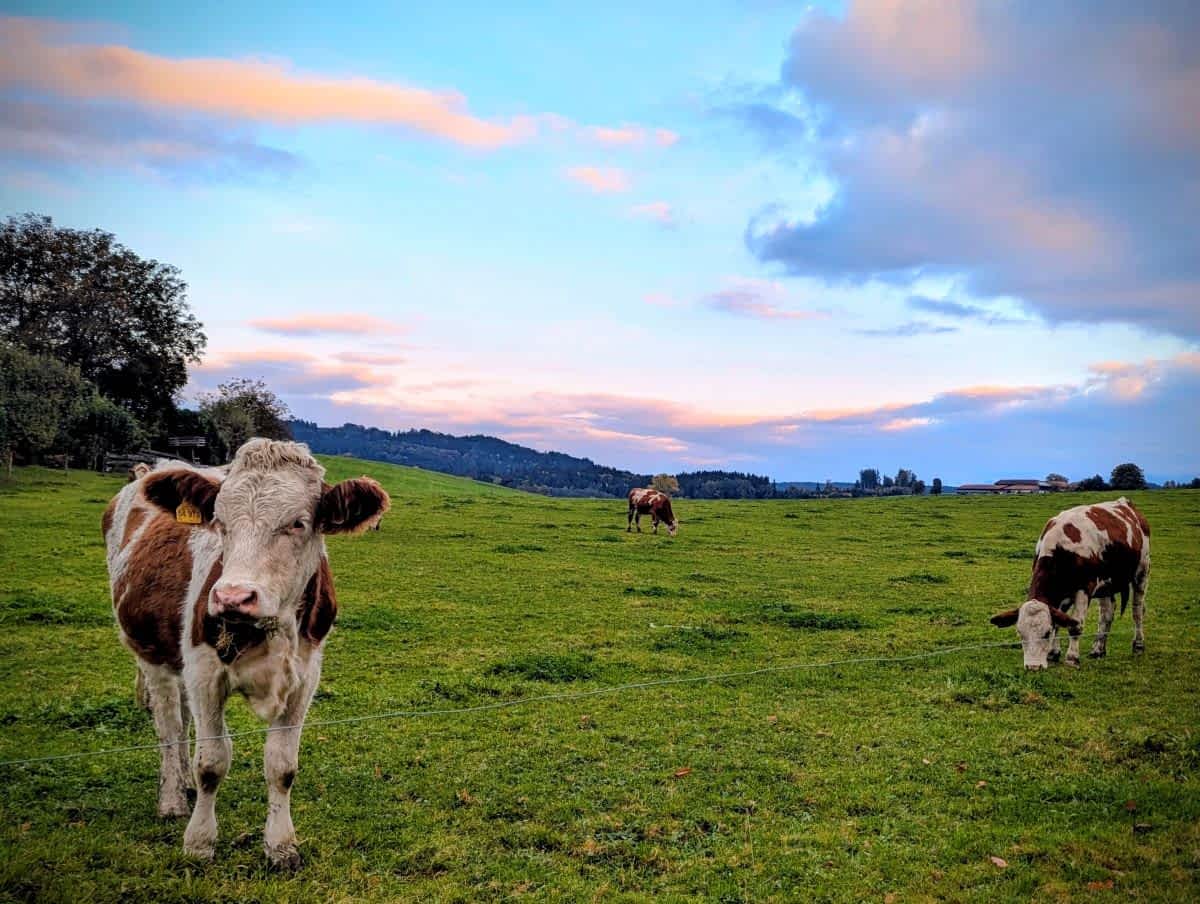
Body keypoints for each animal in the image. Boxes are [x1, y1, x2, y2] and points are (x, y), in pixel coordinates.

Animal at [102, 439, 389, 868]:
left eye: (298, 523)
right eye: (220, 522)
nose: (233, 598)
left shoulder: (304, 678)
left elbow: (282, 766)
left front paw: (281, 845)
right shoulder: (205, 674)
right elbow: (212, 762)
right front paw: (199, 842)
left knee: (182, 719)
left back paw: (182, 784)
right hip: (150, 652)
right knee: (169, 728)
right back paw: (172, 798)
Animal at [990, 497, 1150, 670]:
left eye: (1046, 633)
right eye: (1020, 633)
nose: (1033, 667)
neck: (1061, 547)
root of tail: (1126, 503)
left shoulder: (1084, 588)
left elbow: (1074, 626)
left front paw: (1072, 658)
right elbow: (1059, 621)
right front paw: (1053, 653)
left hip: (1142, 571)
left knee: (1137, 611)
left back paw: (1138, 645)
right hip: (1106, 584)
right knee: (1107, 613)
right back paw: (1098, 650)